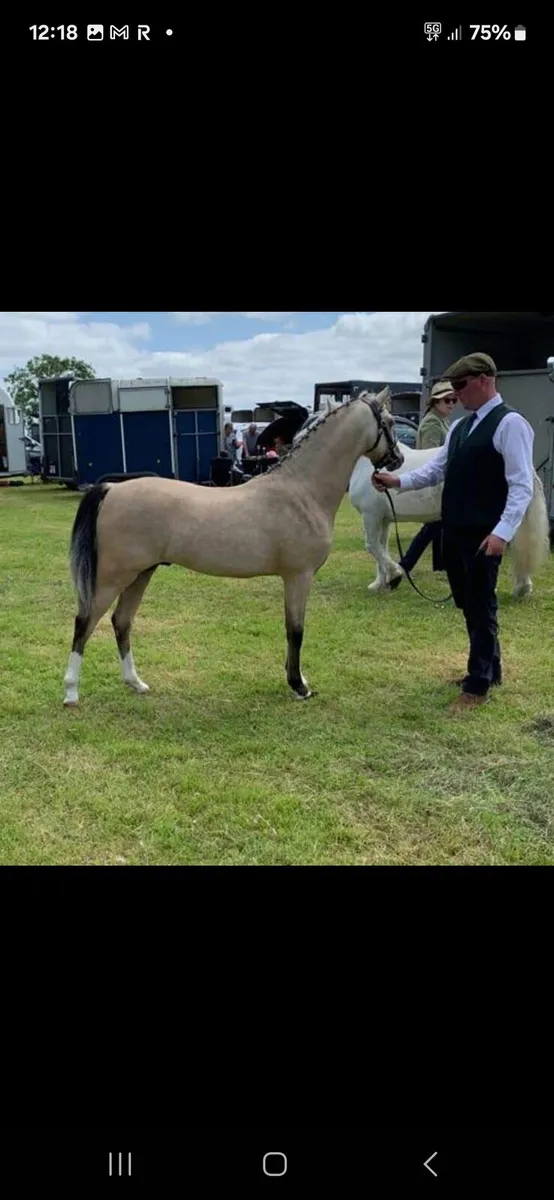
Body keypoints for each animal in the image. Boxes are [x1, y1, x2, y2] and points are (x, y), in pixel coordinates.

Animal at [63, 387, 404, 707]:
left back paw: (135, 683)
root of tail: (111, 488)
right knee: (84, 622)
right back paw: (71, 693)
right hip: (114, 577)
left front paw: (298, 680)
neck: (302, 491)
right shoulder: (299, 577)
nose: (397, 459)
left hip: (141, 574)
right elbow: (295, 631)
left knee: (121, 622)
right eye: (388, 422)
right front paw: (299, 686)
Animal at [348, 443, 551, 598]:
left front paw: (394, 576)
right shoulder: (383, 519)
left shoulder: (371, 516)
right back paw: (522, 588)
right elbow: (381, 548)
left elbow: (373, 547)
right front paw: (381, 583)